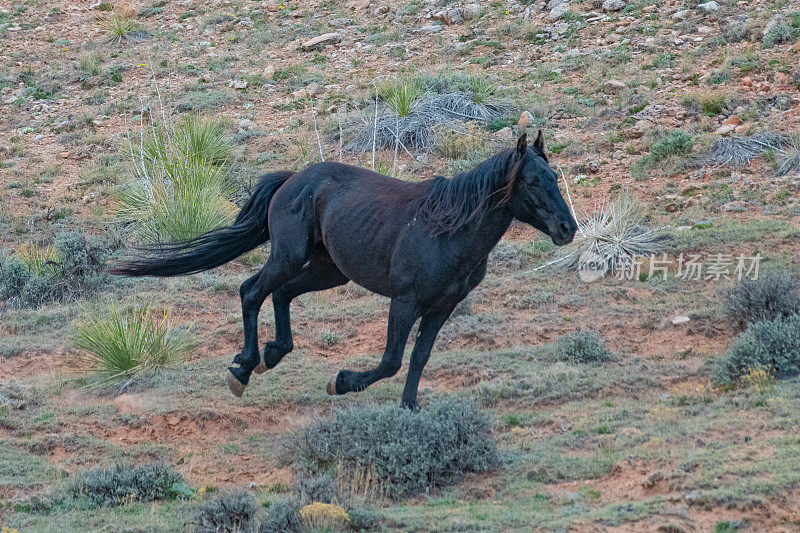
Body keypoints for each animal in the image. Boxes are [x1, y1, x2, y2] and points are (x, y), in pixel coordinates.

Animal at [112, 132, 576, 408]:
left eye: (553, 175)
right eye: (533, 181)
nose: (567, 229)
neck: (449, 228)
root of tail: (293, 180)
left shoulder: (442, 308)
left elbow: (419, 359)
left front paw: (409, 408)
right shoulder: (405, 302)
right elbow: (391, 360)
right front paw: (342, 382)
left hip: (329, 270)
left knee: (280, 294)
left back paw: (271, 355)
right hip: (288, 256)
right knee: (252, 291)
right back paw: (244, 367)